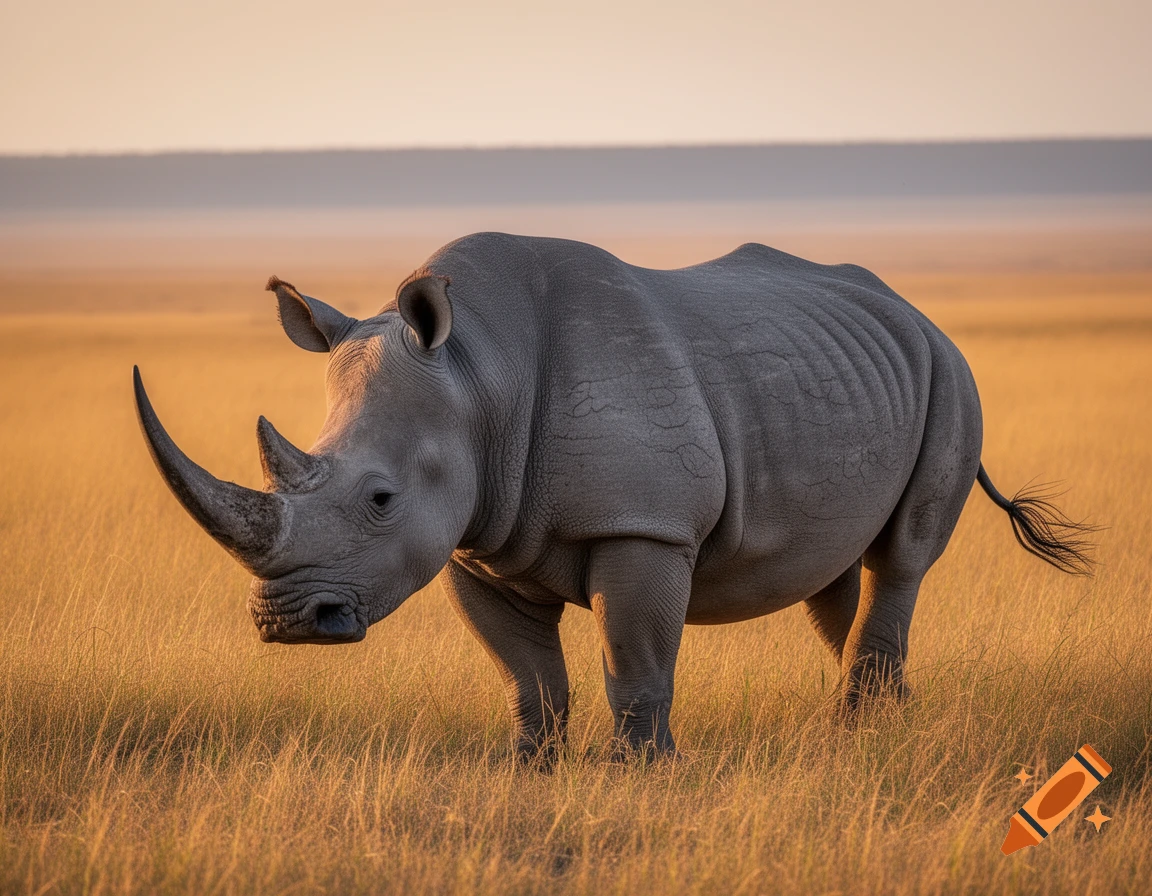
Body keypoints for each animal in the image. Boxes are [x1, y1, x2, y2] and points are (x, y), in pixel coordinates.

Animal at [134, 233, 1094, 758]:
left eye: (380, 499)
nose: (288, 623)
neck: (478, 374)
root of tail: (916, 312)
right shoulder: (476, 545)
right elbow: (528, 678)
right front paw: (532, 769)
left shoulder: (645, 527)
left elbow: (635, 663)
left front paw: (646, 774)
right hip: (865, 371)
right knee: (835, 578)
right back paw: (887, 722)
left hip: (952, 376)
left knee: (902, 557)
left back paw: (856, 735)